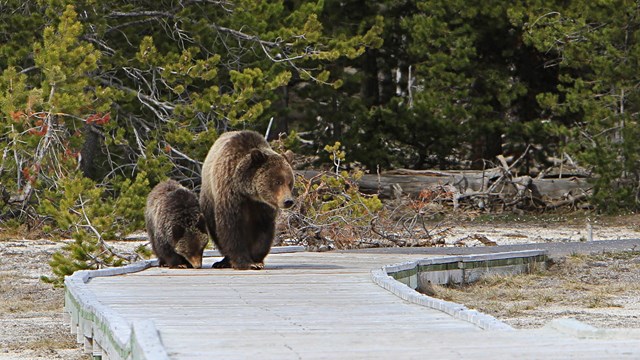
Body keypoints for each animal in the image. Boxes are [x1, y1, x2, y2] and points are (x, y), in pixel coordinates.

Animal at [200, 130, 296, 270]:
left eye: (289, 182)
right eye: (277, 181)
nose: (288, 201)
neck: (248, 192)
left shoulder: (262, 206)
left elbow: (263, 229)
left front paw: (257, 260)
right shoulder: (230, 195)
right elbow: (231, 227)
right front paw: (245, 262)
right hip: (209, 200)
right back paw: (222, 261)